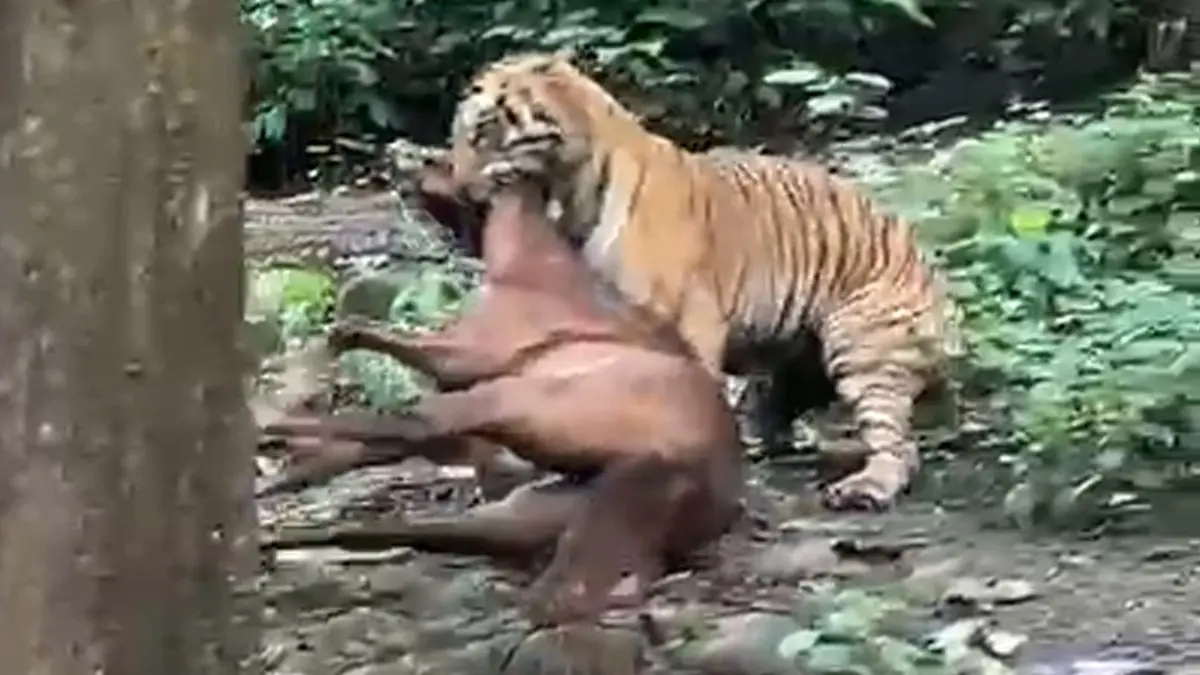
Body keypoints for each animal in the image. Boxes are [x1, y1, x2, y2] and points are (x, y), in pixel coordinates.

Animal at [443, 51, 960, 512]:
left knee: (899, 445)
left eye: (484, 131)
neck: (566, 192)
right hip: (792, 365)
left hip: (862, 345)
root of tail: (929, 268)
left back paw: (865, 488)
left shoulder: (679, 322)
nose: (457, 185)